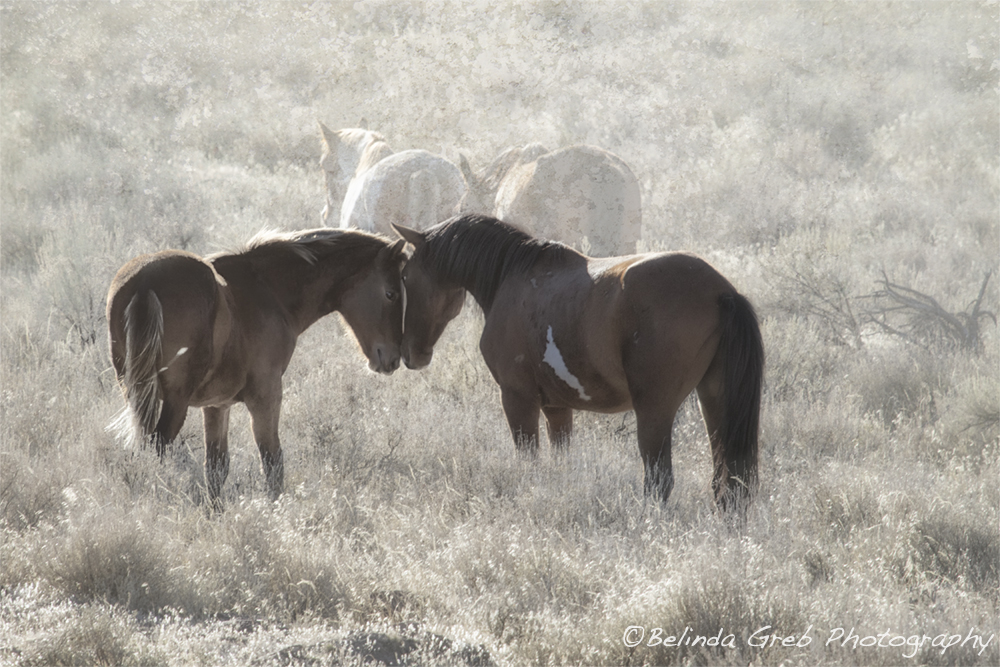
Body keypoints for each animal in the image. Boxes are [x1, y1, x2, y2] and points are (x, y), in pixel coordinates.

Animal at [106, 228, 406, 505]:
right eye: (391, 293)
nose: (392, 359)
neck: (269, 289)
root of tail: (145, 285)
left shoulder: (216, 405)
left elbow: (216, 467)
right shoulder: (266, 395)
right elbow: (272, 463)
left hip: (137, 394)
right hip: (175, 402)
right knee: (155, 450)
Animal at [392, 215, 763, 512]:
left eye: (405, 277)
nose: (410, 354)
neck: (511, 276)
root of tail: (721, 292)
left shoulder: (518, 399)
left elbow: (529, 461)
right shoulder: (557, 409)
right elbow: (561, 463)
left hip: (655, 409)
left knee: (660, 481)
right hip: (713, 400)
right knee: (729, 482)